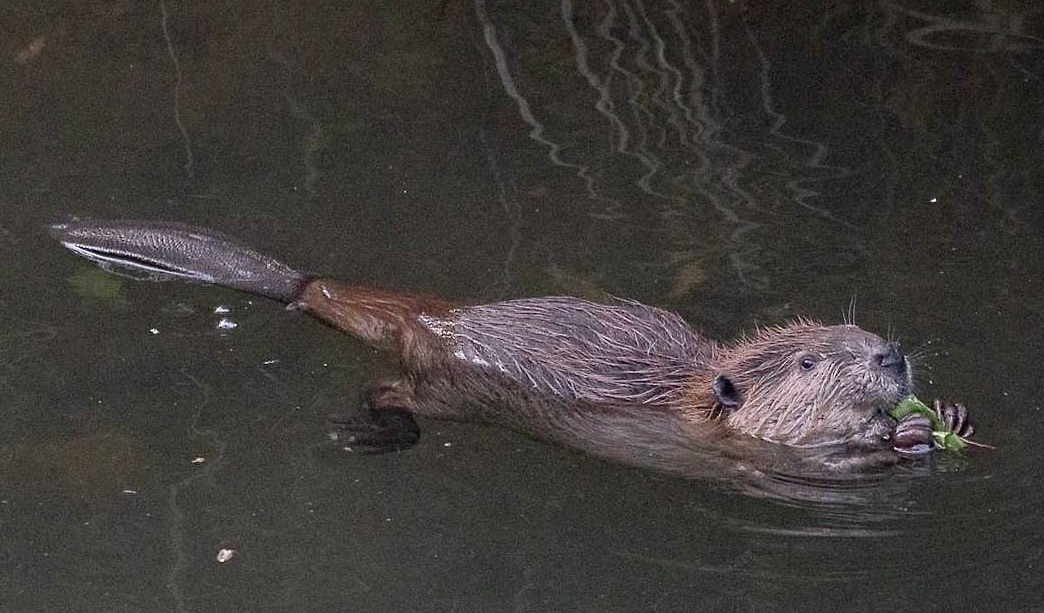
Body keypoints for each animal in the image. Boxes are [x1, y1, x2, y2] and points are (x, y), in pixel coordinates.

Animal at [49, 220, 960, 480]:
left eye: (857, 335)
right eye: (809, 361)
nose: (891, 356)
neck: (687, 388)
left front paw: (944, 411)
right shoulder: (718, 440)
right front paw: (900, 432)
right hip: (453, 390)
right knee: (393, 390)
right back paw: (370, 430)